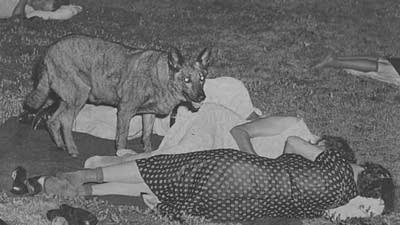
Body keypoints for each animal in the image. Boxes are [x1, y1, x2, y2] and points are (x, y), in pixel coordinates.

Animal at [25, 35, 211, 158]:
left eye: (202, 78)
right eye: (187, 80)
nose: (201, 97)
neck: (162, 76)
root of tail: (47, 52)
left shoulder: (148, 114)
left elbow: (147, 135)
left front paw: (148, 153)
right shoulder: (125, 111)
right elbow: (122, 137)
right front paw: (122, 154)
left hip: (69, 99)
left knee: (53, 120)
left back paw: (60, 145)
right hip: (80, 95)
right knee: (65, 121)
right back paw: (72, 149)